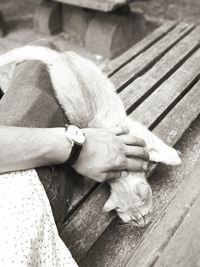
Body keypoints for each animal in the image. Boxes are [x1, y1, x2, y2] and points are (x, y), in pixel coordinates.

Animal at [0, 46, 181, 228]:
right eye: (133, 219)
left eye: (143, 215)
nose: (142, 225)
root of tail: (59, 56)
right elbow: (151, 151)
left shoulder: (138, 131)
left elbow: (156, 147)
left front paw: (173, 157)